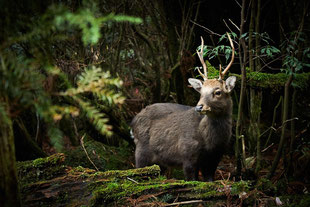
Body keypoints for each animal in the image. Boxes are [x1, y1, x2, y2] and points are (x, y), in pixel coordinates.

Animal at [130, 34, 235, 181]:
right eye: (201, 92)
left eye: (218, 92)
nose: (199, 107)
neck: (210, 142)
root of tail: (133, 121)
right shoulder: (187, 153)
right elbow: (191, 178)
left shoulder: (215, 157)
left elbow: (209, 180)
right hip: (141, 151)